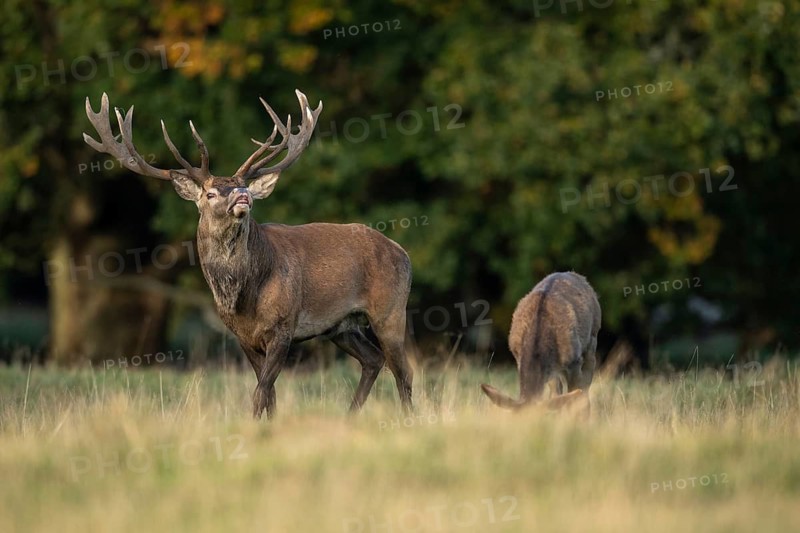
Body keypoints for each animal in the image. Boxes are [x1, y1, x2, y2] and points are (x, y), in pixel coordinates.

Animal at [83, 90, 413, 419]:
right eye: (210, 193)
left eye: (244, 187)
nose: (243, 196)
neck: (243, 297)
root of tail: (402, 252)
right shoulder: (242, 336)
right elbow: (269, 394)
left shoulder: (284, 326)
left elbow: (260, 391)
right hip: (341, 325)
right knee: (373, 359)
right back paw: (349, 415)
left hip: (390, 309)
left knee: (403, 371)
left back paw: (407, 418)